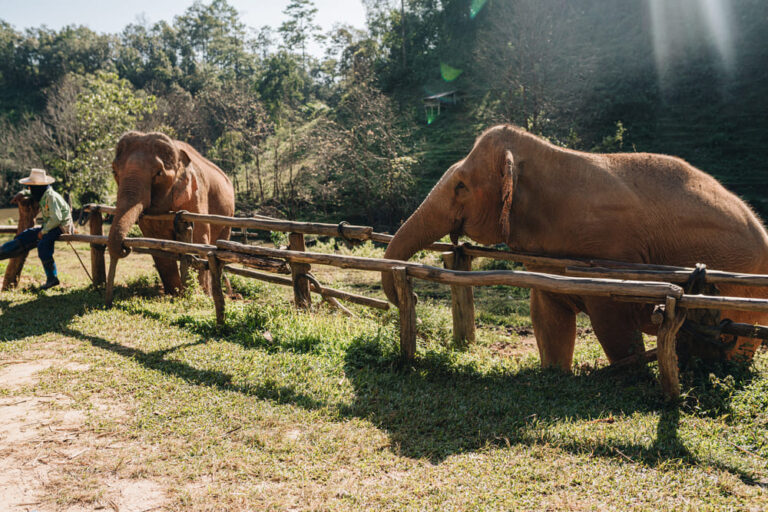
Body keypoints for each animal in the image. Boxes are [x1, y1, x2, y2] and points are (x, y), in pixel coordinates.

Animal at [107, 131, 235, 295]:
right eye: (114, 171)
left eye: (159, 173)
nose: (125, 247)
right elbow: (156, 241)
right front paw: (175, 293)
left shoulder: (195, 194)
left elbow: (199, 238)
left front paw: (200, 293)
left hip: (228, 216)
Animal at [382, 124, 768, 368]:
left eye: (461, 186)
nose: (410, 294)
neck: (547, 155)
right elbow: (546, 318)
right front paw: (555, 372)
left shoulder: (611, 257)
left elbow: (614, 326)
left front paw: (627, 373)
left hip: (743, 286)